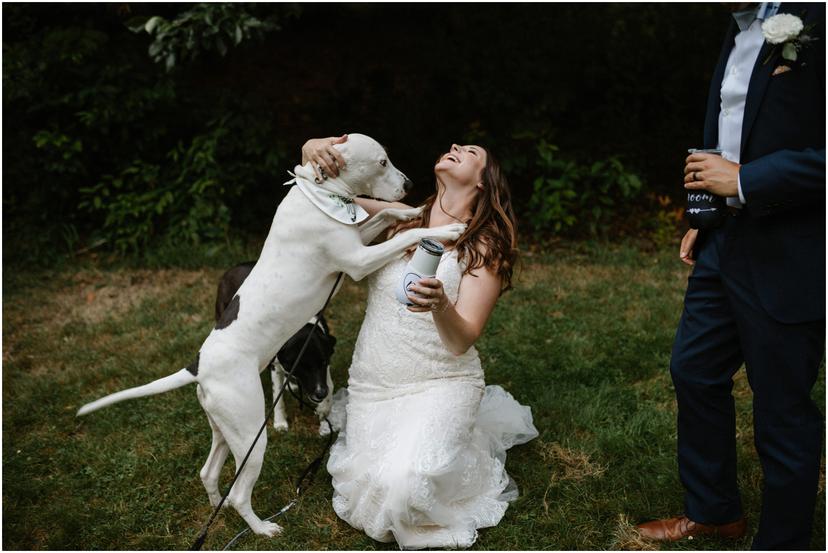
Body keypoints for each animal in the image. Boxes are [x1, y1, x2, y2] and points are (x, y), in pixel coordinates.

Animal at [76, 134, 466, 536]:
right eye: (382, 162)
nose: (409, 184)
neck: (321, 191)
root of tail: (199, 365)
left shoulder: (359, 237)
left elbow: (384, 216)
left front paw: (409, 211)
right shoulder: (358, 261)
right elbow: (408, 232)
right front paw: (442, 230)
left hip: (225, 430)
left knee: (208, 472)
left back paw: (216, 510)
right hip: (251, 435)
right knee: (238, 493)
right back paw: (261, 528)